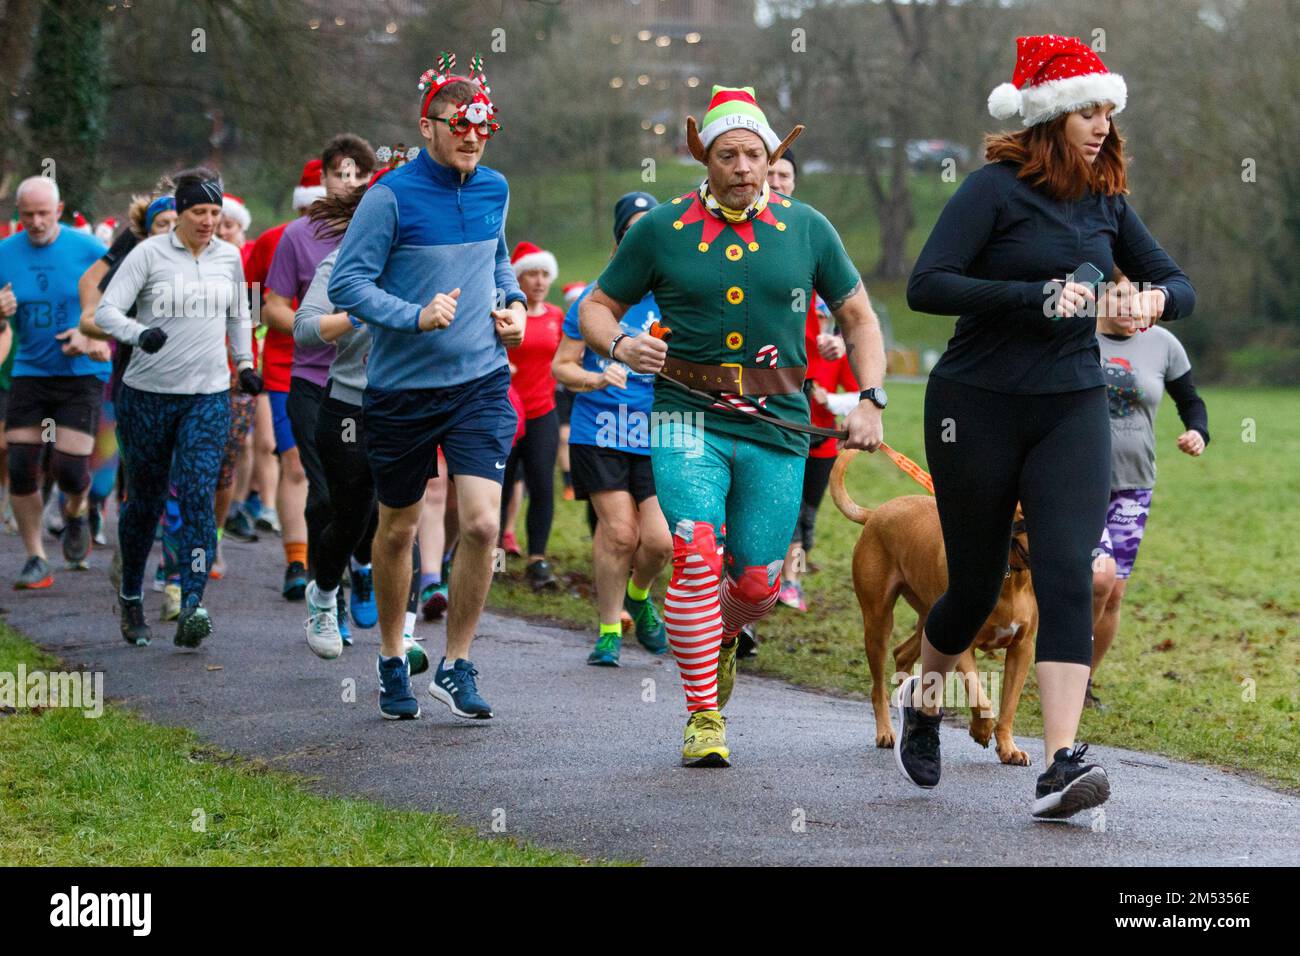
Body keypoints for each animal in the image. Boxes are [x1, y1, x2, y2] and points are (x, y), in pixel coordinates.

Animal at [832, 452, 1034, 764]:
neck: (1010, 577)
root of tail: (876, 513)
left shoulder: (1022, 649)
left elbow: (1009, 703)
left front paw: (1008, 747)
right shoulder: (962, 642)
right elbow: (979, 694)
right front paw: (981, 730)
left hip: (929, 620)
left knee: (902, 654)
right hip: (879, 620)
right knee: (878, 685)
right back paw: (886, 731)